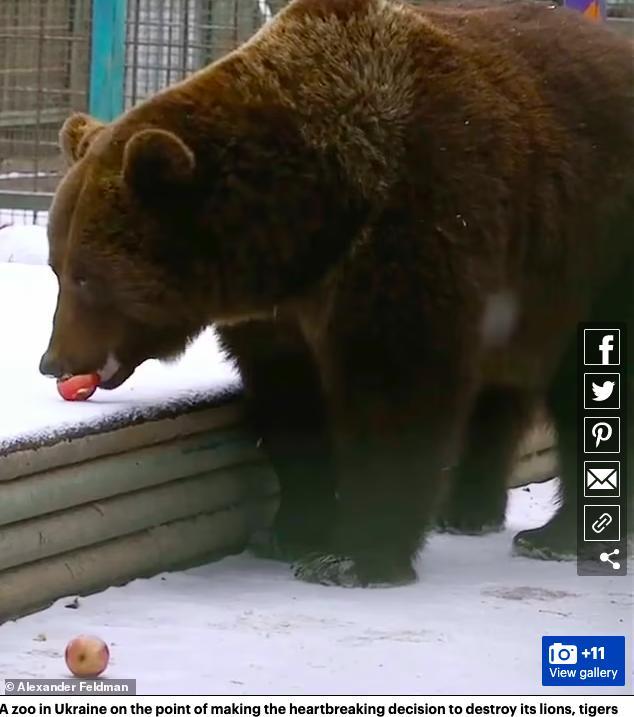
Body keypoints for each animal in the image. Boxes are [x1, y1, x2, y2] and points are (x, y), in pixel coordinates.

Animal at [40, 1, 632, 588]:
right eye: (57, 267)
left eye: (87, 276)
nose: (53, 361)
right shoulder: (280, 315)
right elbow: (292, 404)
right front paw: (294, 529)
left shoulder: (413, 232)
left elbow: (394, 395)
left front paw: (354, 556)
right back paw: (471, 509)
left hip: (592, 257)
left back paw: (556, 537)